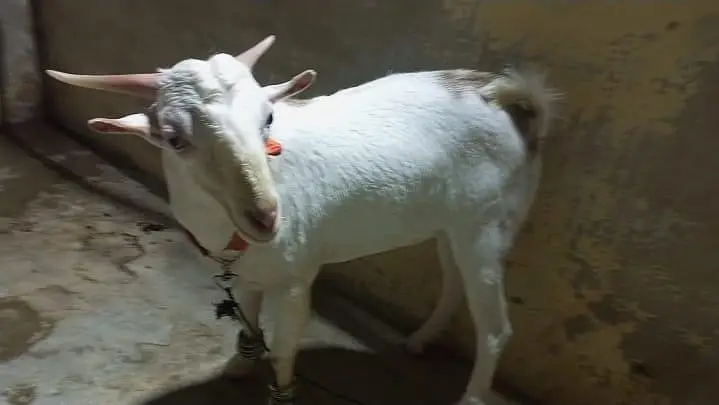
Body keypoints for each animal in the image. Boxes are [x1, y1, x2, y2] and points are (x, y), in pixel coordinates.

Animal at [46, 35, 558, 405]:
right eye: (173, 138)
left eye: (268, 117)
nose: (267, 217)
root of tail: (513, 100)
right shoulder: (247, 272)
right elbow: (248, 319)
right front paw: (238, 365)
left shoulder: (296, 277)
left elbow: (286, 345)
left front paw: (280, 390)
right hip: (454, 222)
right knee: (454, 280)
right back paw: (420, 340)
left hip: (489, 224)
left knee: (495, 326)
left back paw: (471, 396)